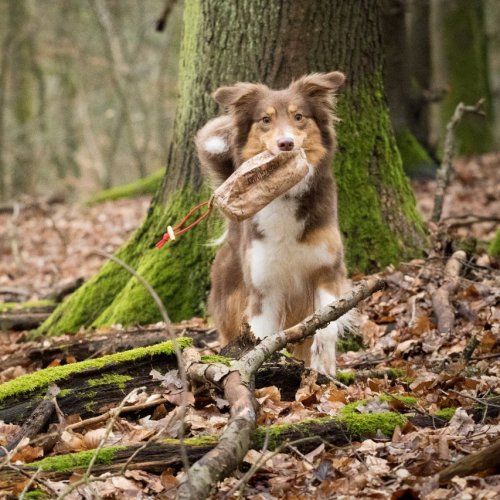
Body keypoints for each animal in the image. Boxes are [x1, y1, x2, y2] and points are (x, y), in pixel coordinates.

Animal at [195, 71, 352, 376]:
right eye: (265, 120)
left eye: (299, 117)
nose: (286, 144)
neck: (284, 194)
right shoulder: (263, 290)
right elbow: (260, 339)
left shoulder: (328, 271)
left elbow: (326, 325)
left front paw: (324, 364)